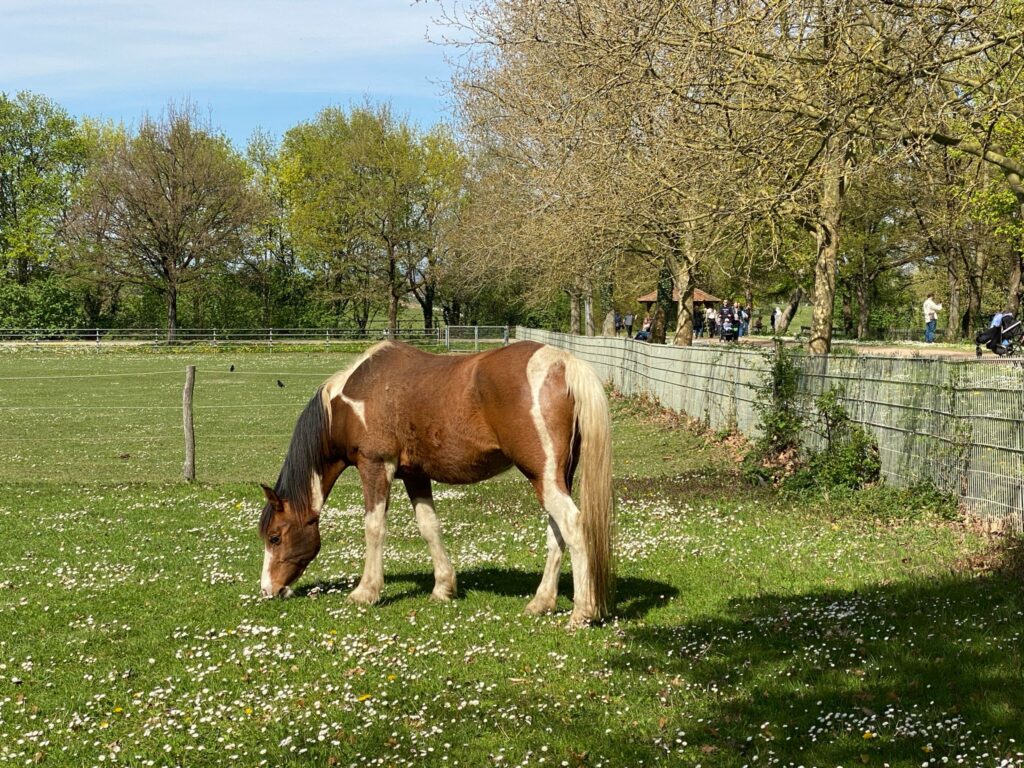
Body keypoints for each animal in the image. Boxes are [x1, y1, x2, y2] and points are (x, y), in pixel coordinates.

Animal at [258, 340, 615, 626]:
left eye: (275, 537)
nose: (268, 590)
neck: (350, 401)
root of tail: (561, 363)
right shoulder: (415, 474)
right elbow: (429, 527)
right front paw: (443, 588)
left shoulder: (375, 466)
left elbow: (374, 528)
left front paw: (366, 591)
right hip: (553, 477)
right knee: (557, 532)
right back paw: (541, 603)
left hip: (543, 476)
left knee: (572, 525)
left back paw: (582, 612)